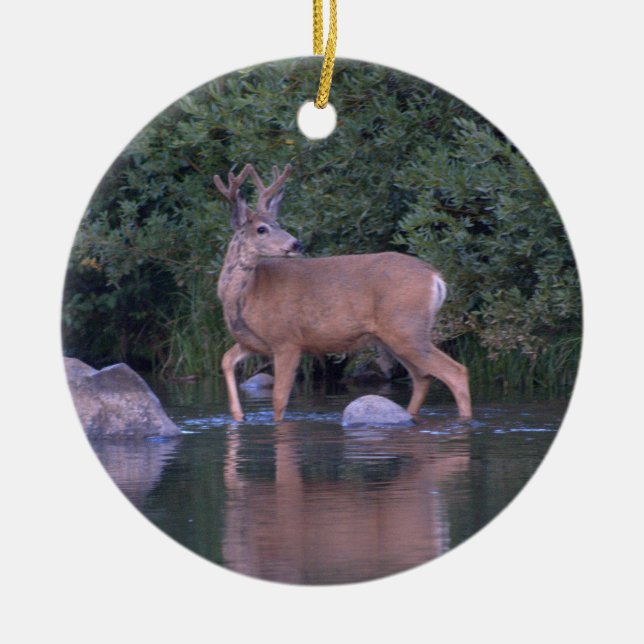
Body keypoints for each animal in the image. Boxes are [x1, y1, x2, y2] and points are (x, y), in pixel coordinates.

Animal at [213, 163, 472, 422]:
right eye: (262, 229)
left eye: (278, 224)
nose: (296, 244)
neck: (248, 294)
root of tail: (436, 278)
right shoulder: (251, 342)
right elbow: (225, 360)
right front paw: (238, 416)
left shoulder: (287, 340)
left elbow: (279, 400)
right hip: (393, 336)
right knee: (422, 377)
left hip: (407, 328)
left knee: (455, 371)